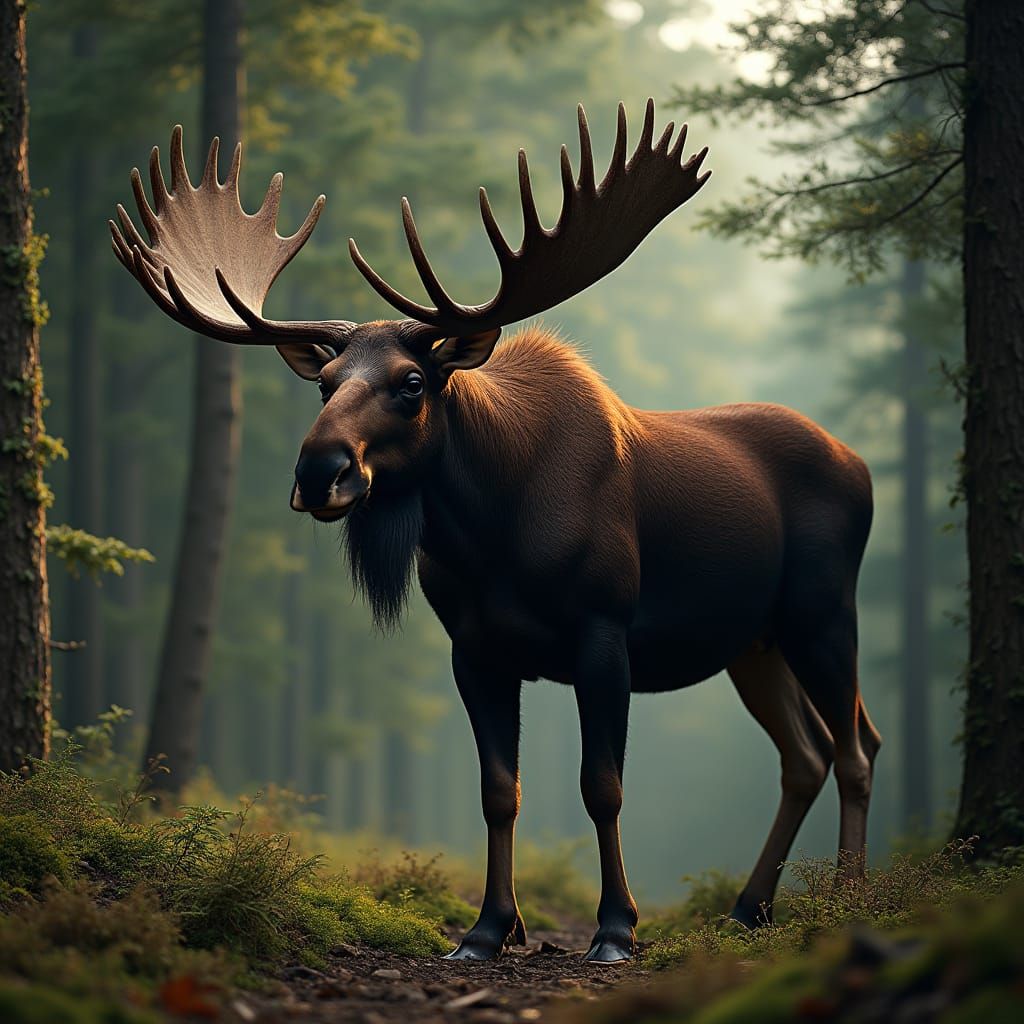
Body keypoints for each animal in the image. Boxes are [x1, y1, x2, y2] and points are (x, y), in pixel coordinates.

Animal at [110, 100, 880, 963]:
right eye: (325, 382)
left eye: (413, 383)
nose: (319, 472)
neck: (492, 538)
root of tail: (860, 466)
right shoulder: (475, 647)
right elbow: (499, 790)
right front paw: (488, 929)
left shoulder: (603, 630)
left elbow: (601, 786)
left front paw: (616, 927)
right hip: (754, 641)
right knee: (806, 755)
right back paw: (749, 909)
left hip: (822, 611)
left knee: (855, 748)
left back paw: (846, 902)